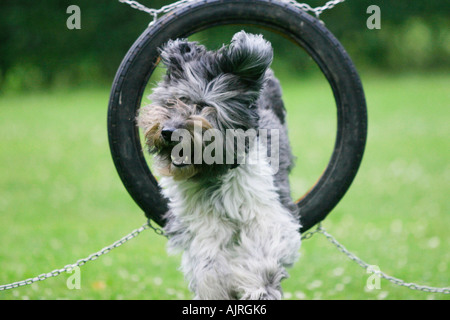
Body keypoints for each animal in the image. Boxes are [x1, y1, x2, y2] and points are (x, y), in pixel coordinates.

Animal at [137, 31, 298, 298]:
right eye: (175, 101)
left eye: (203, 105)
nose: (168, 132)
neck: (212, 175)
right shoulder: (201, 222)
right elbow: (208, 260)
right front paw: (216, 288)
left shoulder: (266, 208)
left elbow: (262, 251)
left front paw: (259, 287)